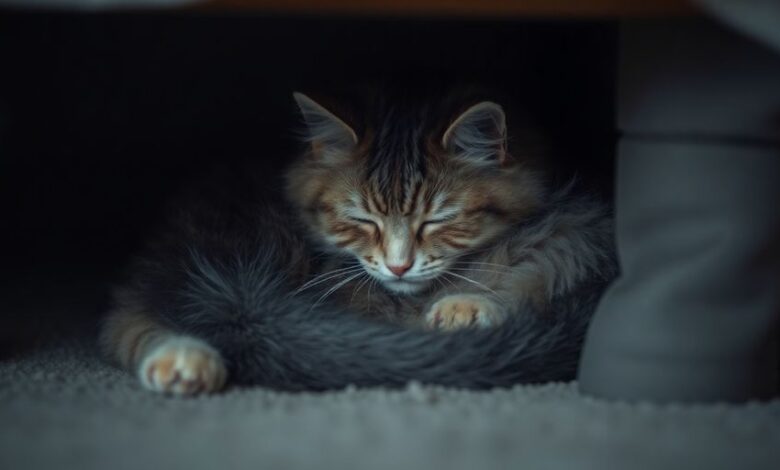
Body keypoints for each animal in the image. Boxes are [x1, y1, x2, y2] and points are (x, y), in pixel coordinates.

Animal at [99, 87, 616, 392]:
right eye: (361, 220)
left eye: (438, 220)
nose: (399, 266)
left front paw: (468, 306)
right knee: (135, 317)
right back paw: (184, 361)